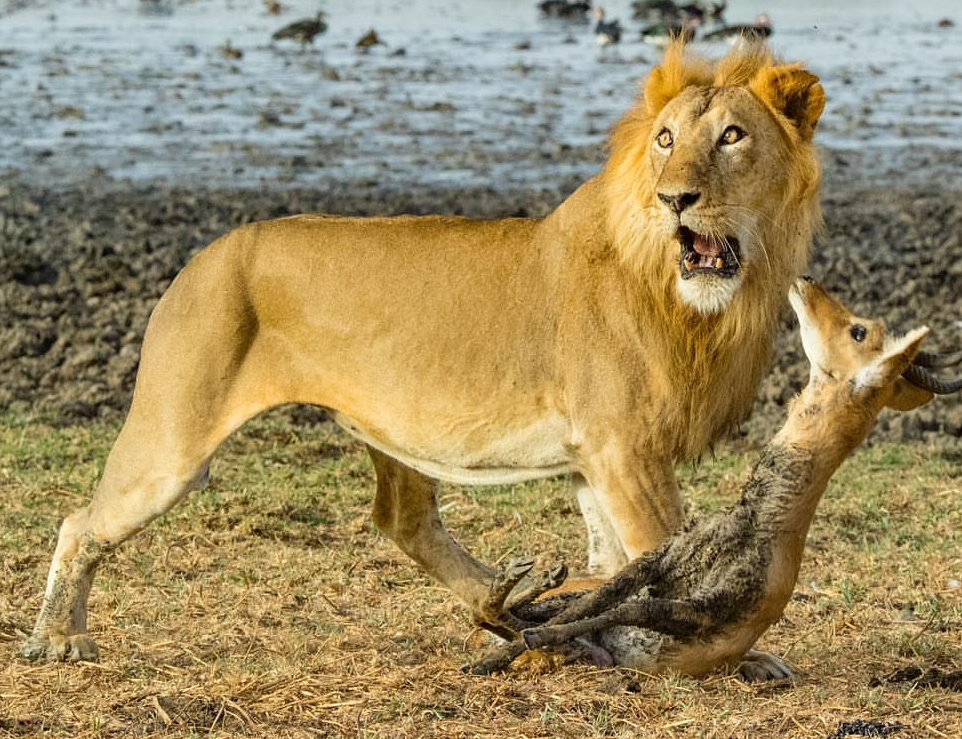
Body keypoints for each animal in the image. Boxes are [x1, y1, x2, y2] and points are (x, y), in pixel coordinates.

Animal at [24, 40, 816, 676]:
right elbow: (663, 559)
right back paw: (56, 639)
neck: (699, 299)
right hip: (173, 444)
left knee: (403, 520)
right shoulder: (627, 449)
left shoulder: (596, 457)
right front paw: (713, 654)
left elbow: (616, 563)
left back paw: (509, 602)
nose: (676, 197)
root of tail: (202, 256)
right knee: (79, 523)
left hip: (392, 432)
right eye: (665, 139)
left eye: (733, 137)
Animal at [472, 278, 960, 684]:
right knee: (513, 610)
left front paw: (505, 650)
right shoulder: (658, 561)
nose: (805, 281)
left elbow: (626, 606)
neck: (762, 524)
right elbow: (602, 599)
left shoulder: (695, 610)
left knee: (512, 618)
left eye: (859, 331)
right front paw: (490, 656)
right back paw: (529, 582)